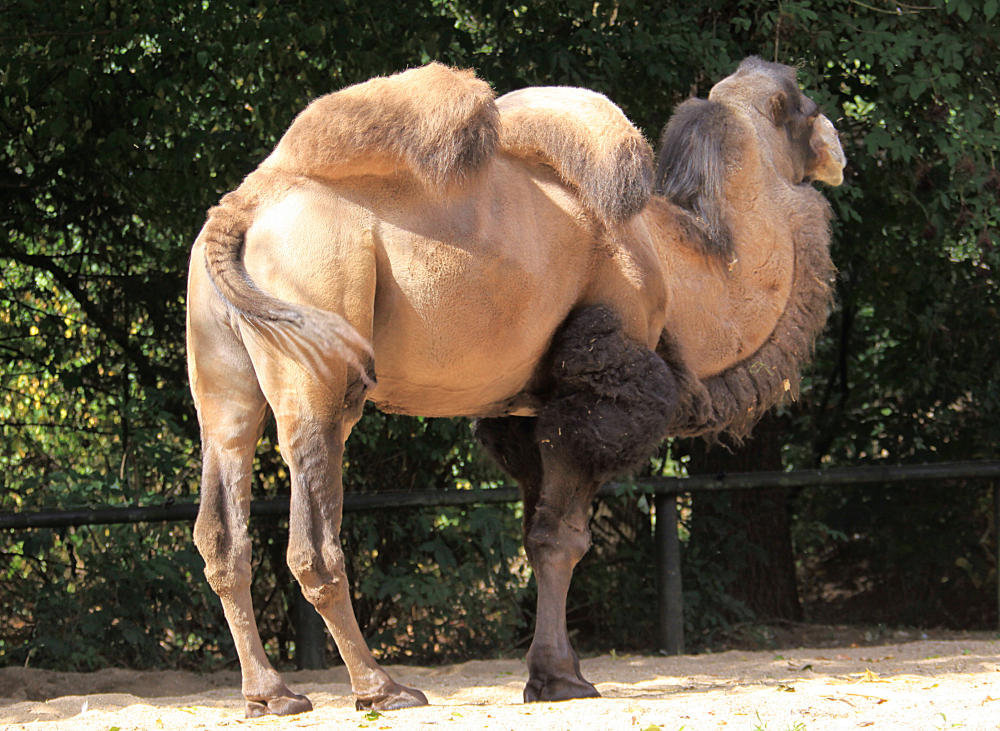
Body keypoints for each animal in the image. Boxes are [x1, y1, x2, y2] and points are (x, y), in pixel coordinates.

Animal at [186, 55, 844, 716]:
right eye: (804, 107)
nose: (836, 150)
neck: (682, 268)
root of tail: (241, 210)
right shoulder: (595, 392)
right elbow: (563, 541)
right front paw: (561, 679)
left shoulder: (525, 413)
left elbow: (537, 538)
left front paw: (554, 674)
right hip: (319, 341)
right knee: (314, 543)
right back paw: (383, 688)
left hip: (221, 376)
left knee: (223, 529)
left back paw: (271, 695)